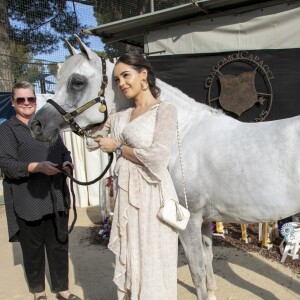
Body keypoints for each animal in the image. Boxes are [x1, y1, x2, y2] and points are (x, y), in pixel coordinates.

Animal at [29, 35, 300, 300]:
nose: (36, 125)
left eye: (77, 82)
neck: (180, 133)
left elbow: (197, 273)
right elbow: (208, 266)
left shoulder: (188, 221)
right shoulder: (204, 221)